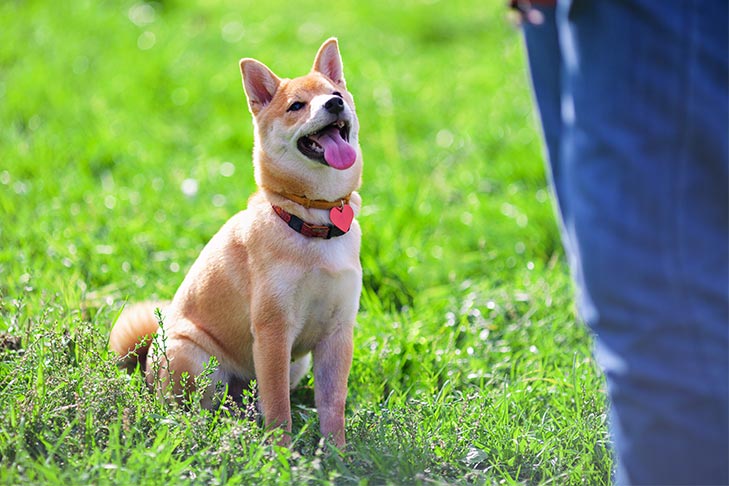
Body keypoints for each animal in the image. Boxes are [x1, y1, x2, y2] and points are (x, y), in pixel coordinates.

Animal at [109, 38, 362, 448]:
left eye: (336, 94)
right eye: (297, 106)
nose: (334, 105)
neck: (312, 220)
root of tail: (146, 366)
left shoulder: (337, 334)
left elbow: (332, 405)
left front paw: (337, 452)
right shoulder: (273, 332)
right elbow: (278, 408)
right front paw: (282, 454)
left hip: (296, 364)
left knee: (246, 404)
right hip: (194, 359)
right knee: (191, 411)